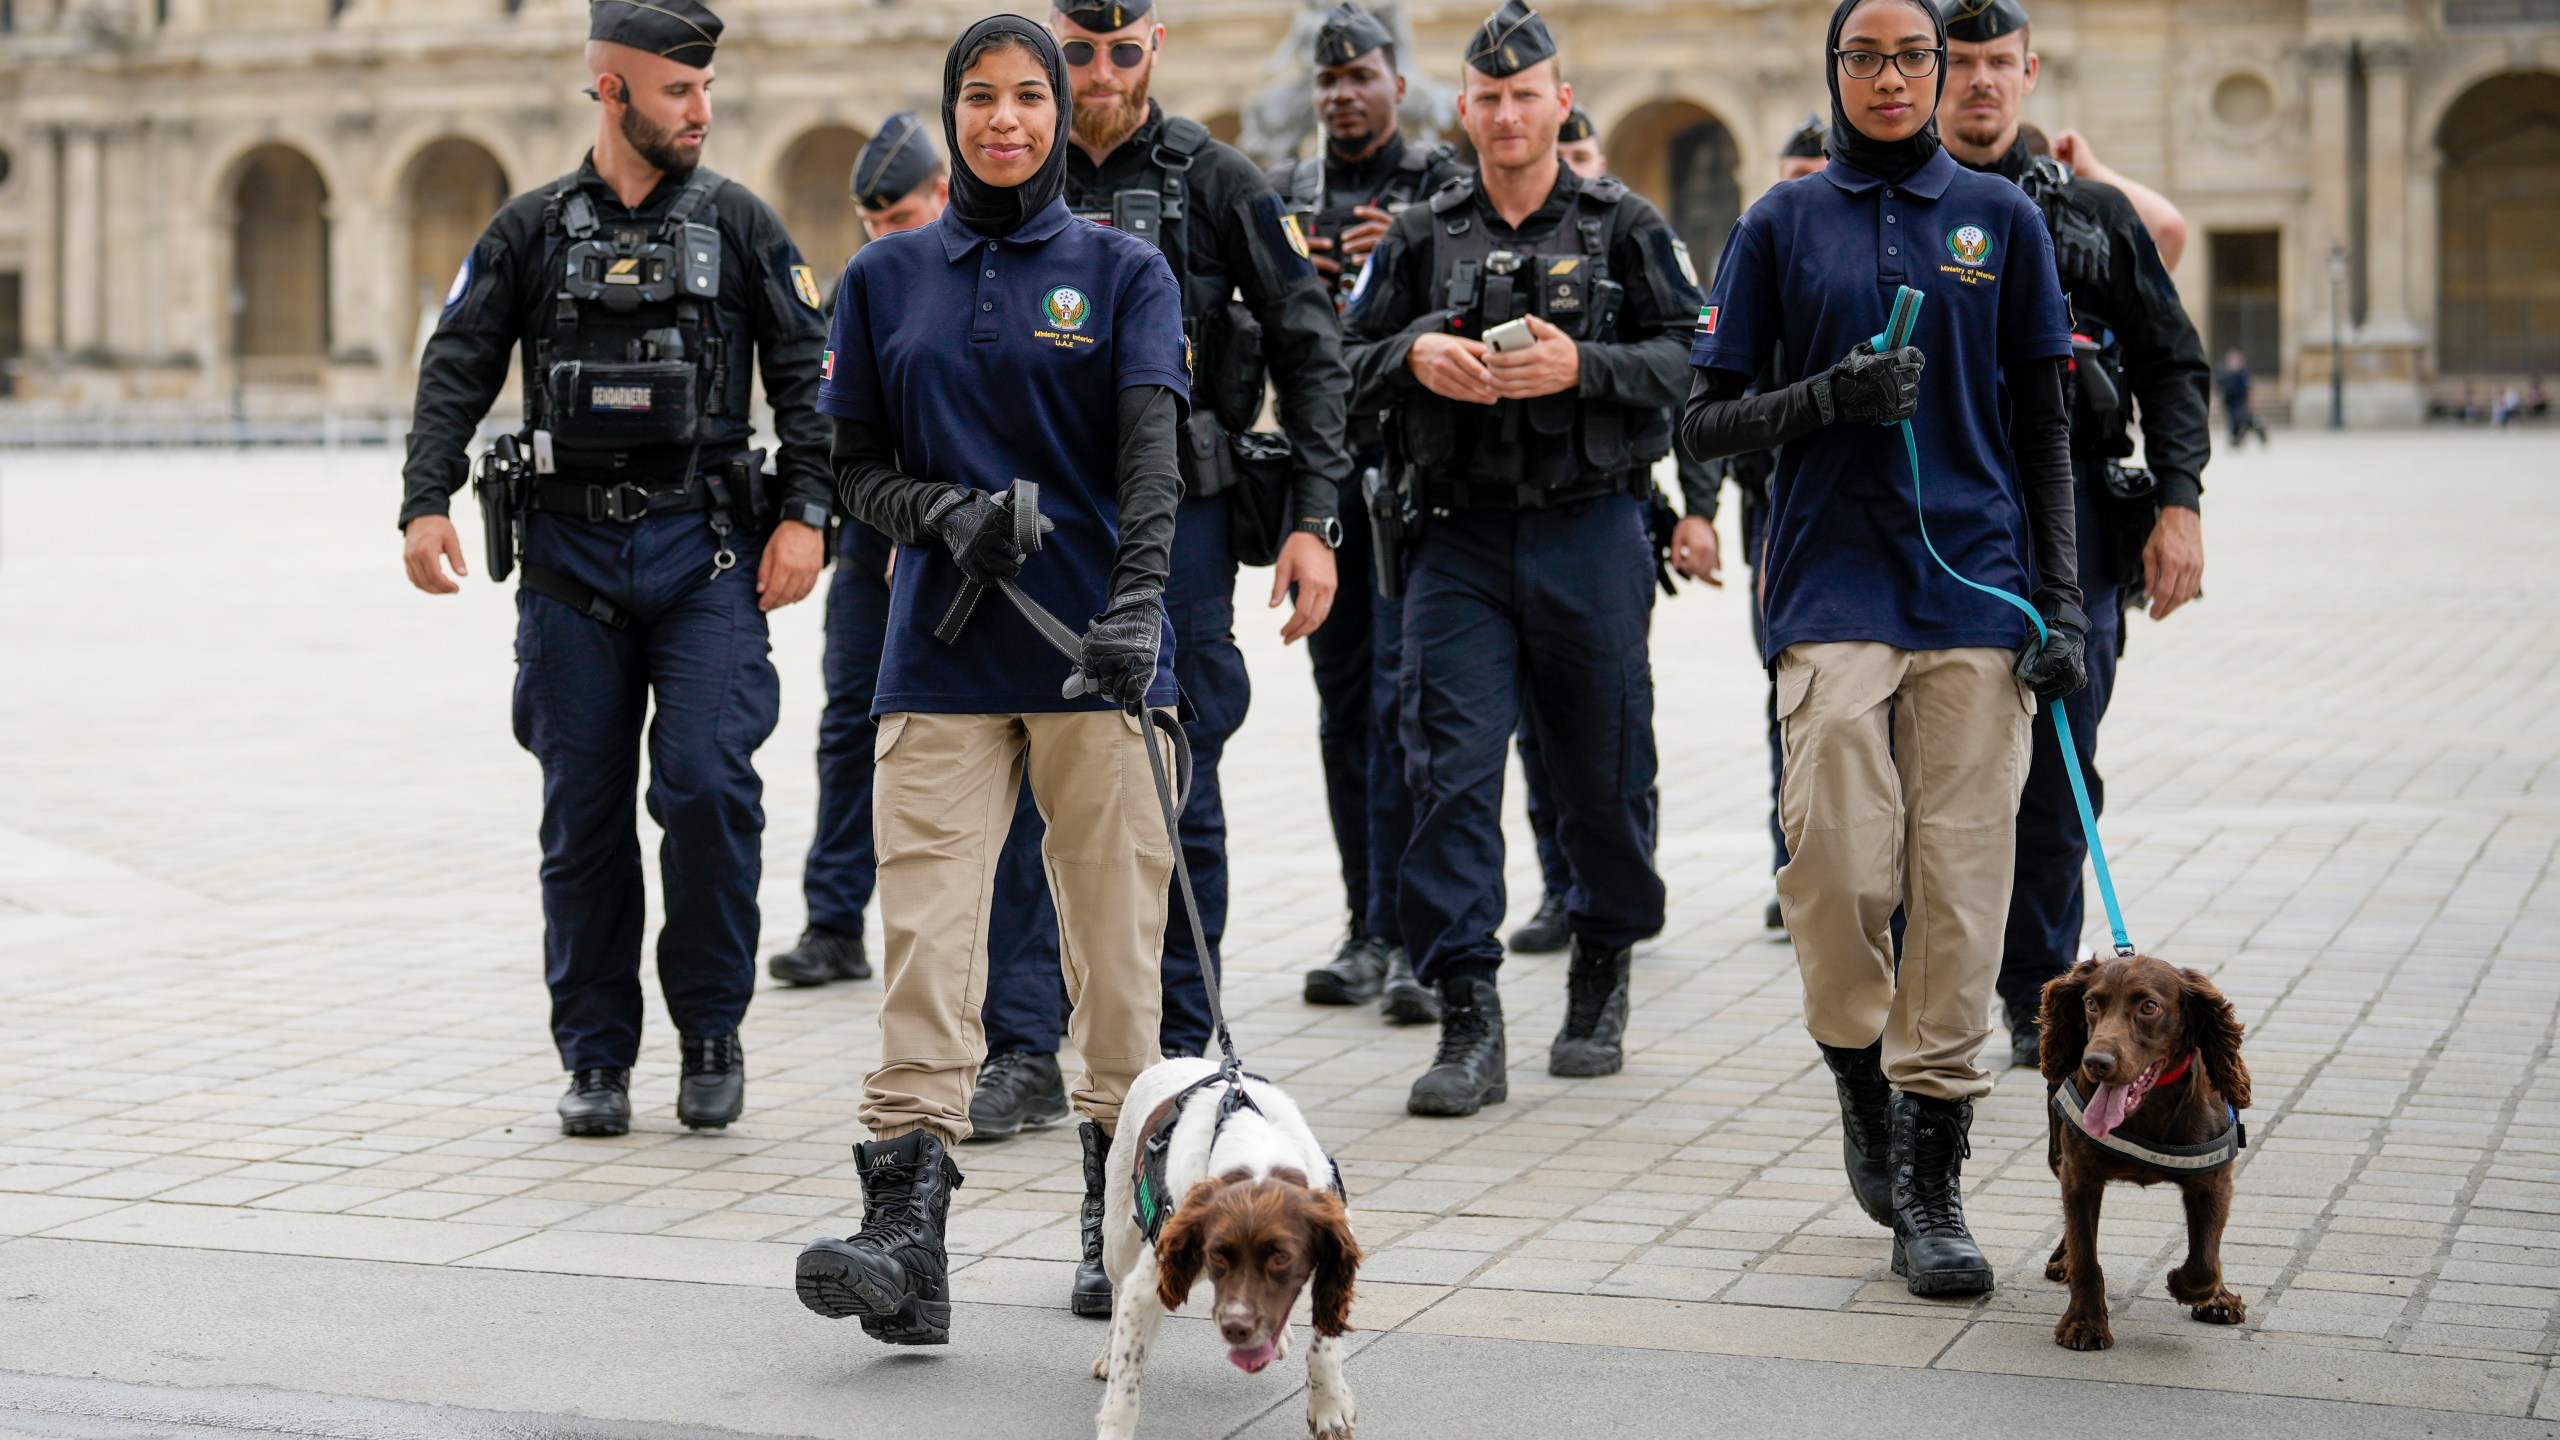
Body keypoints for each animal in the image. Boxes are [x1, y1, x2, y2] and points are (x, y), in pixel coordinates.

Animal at [1090, 1050, 1361, 1424]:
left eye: (1281, 1258)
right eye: (1219, 1254)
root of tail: (1172, 1060)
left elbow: (1324, 1340)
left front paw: (1328, 1406)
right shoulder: (1149, 1281)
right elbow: (1124, 1388)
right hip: (1119, 1241)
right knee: (1117, 1292)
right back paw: (1107, 1354)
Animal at [2037, 953, 2242, 1342]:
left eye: (2149, 1006)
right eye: (2091, 1003)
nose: (2096, 1062)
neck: (2149, 1112)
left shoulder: (2213, 1180)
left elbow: (2206, 1258)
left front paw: (2193, 1289)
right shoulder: (2079, 1173)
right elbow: (2085, 1253)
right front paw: (2084, 1322)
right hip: (2057, 1152)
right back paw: (2062, 1259)